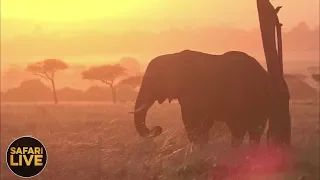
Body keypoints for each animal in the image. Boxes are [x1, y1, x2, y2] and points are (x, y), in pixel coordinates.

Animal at [131, 49, 272, 148]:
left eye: (154, 80)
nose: (157, 128)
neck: (173, 56)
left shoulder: (192, 91)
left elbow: (191, 120)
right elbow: (204, 123)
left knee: (240, 127)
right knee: (253, 129)